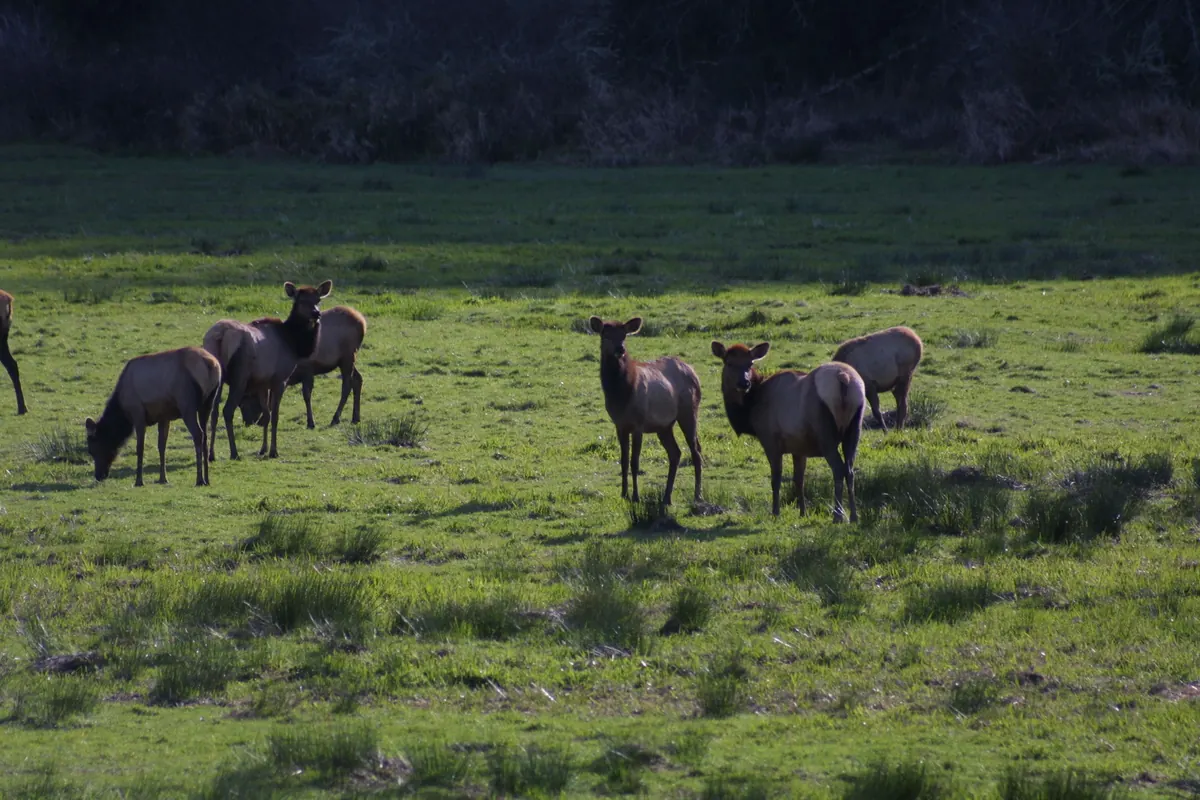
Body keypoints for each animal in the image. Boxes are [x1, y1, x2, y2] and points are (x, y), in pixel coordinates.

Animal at [84, 347, 221, 487]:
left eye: (93, 449)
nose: (99, 476)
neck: (123, 411)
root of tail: (211, 364)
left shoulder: (138, 413)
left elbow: (140, 447)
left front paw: (139, 481)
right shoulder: (164, 416)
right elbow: (161, 446)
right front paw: (163, 479)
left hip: (187, 403)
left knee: (198, 434)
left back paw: (199, 479)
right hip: (208, 402)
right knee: (205, 434)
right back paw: (207, 479)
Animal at [202, 280, 330, 461]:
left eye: (318, 300)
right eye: (301, 301)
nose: (316, 313)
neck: (294, 344)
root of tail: (221, 335)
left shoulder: (262, 383)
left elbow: (266, 415)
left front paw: (262, 449)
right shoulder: (280, 379)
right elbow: (274, 416)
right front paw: (273, 451)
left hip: (217, 378)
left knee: (214, 412)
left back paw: (212, 454)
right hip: (239, 377)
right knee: (227, 411)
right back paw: (234, 452)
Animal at [588, 316, 702, 506]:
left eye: (624, 335)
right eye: (605, 334)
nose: (620, 349)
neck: (621, 395)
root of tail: (694, 372)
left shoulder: (638, 424)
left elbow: (634, 462)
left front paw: (635, 496)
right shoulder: (619, 425)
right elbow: (623, 461)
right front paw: (624, 494)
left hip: (689, 411)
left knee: (696, 451)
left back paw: (697, 495)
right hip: (664, 426)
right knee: (675, 453)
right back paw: (666, 497)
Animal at [712, 341, 865, 522]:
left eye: (750, 363)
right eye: (729, 363)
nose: (744, 383)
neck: (750, 409)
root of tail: (844, 378)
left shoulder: (770, 441)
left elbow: (776, 478)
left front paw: (775, 512)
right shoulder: (799, 447)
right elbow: (799, 479)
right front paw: (803, 512)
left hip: (825, 435)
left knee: (838, 469)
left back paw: (838, 516)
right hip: (854, 428)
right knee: (850, 470)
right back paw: (854, 516)